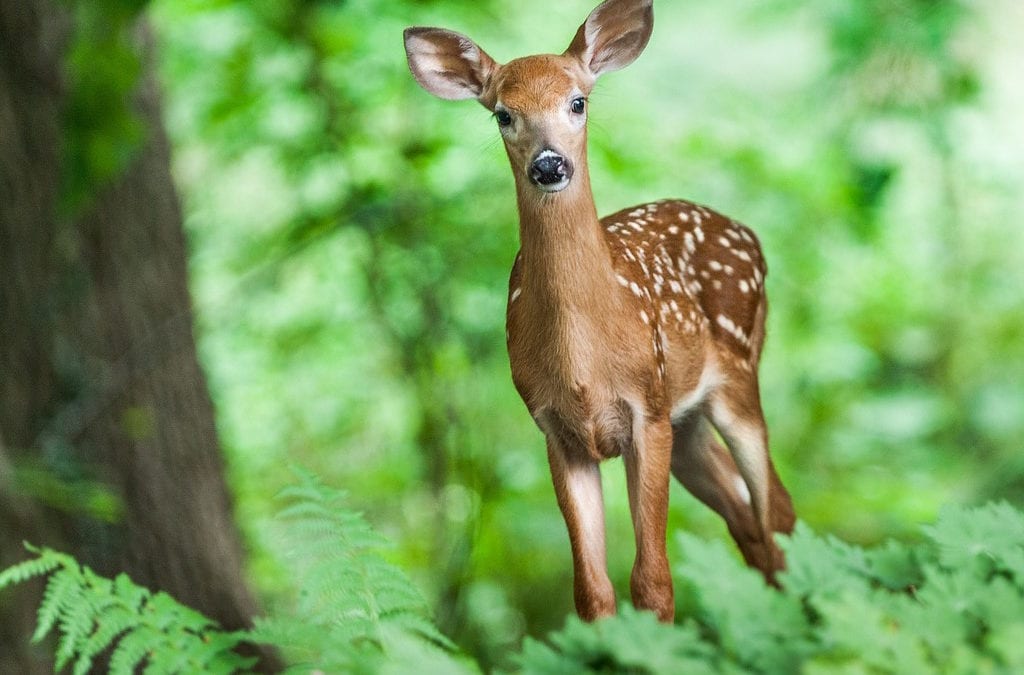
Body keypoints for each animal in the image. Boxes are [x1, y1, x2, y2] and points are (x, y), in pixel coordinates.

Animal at [404, 0, 795, 623]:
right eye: (503, 114)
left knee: (776, 510)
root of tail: (747, 233)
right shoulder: (555, 429)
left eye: (578, 102)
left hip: (735, 377)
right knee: (747, 518)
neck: (585, 361)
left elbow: (653, 582)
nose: (549, 165)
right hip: (688, 424)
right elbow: (591, 590)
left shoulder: (647, 410)